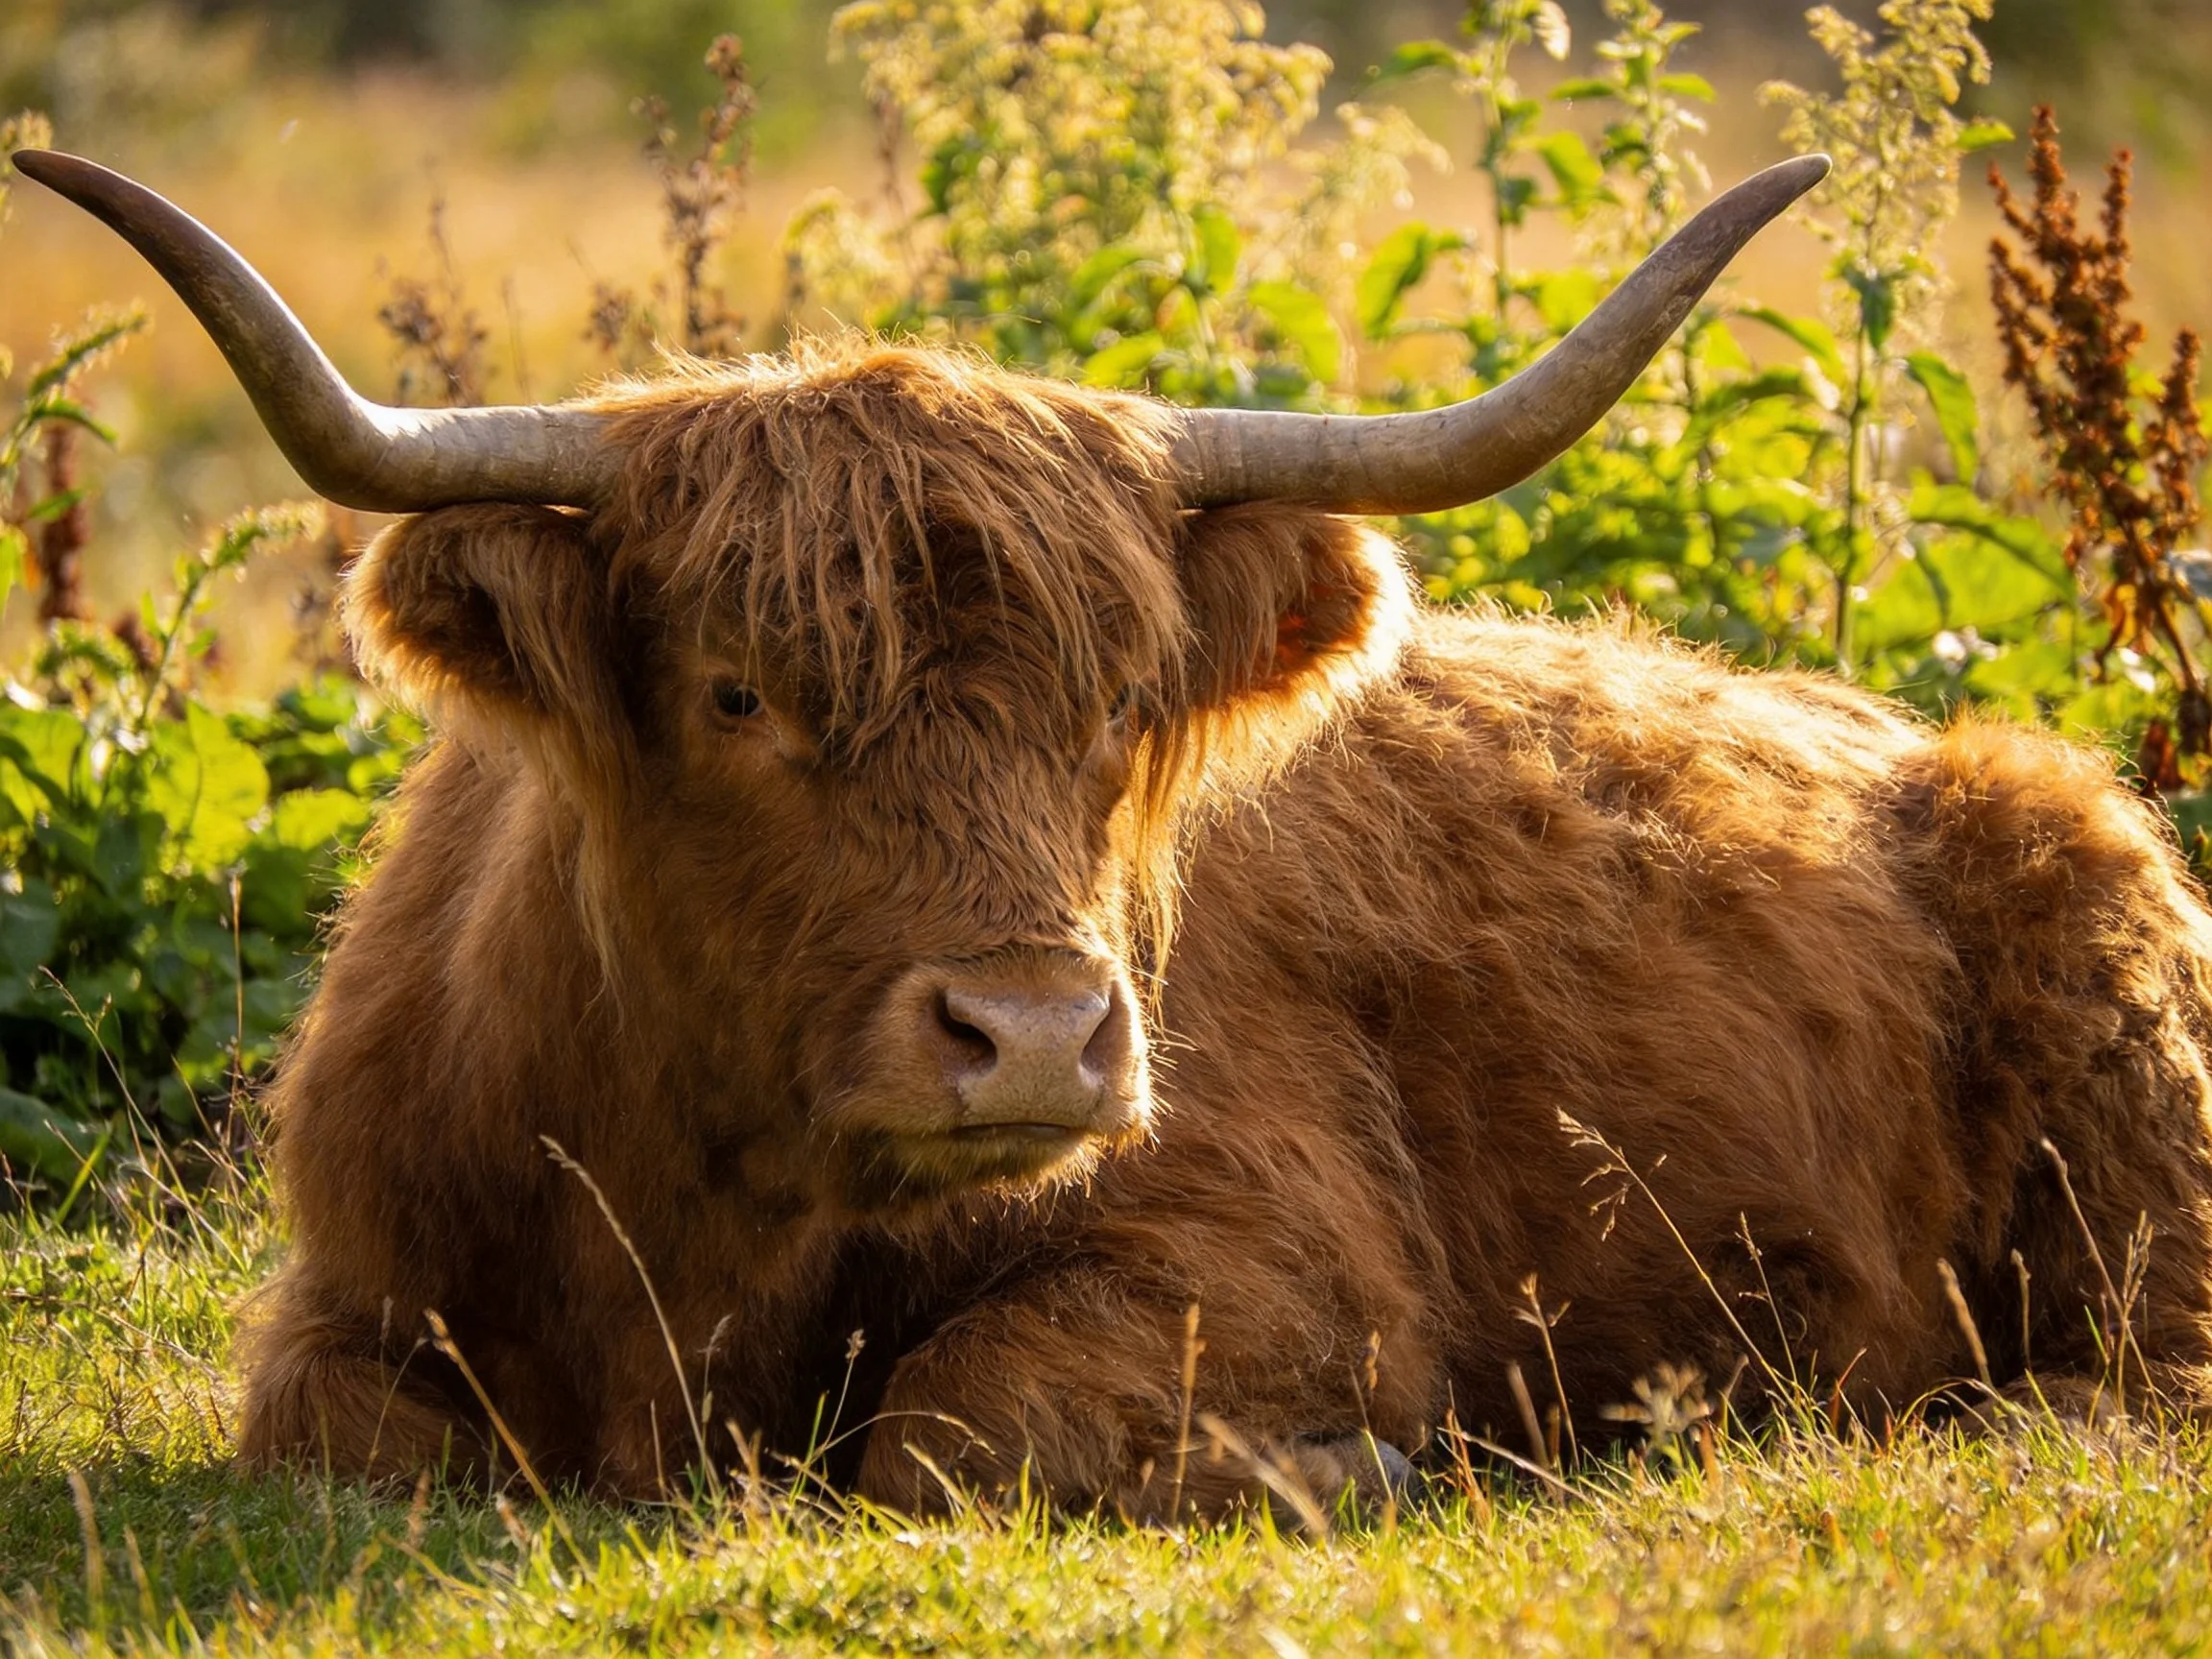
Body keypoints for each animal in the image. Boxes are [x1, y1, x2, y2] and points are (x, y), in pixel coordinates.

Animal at [21, 147, 2212, 1522]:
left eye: (1111, 708)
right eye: (737, 692)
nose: (1036, 1037)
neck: (694, 1241)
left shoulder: (1275, 1257)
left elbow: (942, 1426)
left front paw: (1351, 1472)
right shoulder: (353, 1296)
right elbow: (339, 1431)